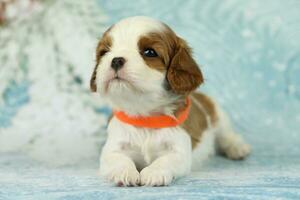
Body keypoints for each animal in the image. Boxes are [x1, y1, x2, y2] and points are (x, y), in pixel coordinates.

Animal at [91, 16, 251, 187]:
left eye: (149, 52)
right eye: (104, 52)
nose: (116, 60)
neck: (145, 116)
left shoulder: (179, 150)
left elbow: (166, 160)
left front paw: (154, 172)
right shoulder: (114, 145)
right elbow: (117, 158)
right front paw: (124, 172)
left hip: (219, 116)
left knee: (226, 135)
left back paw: (237, 147)